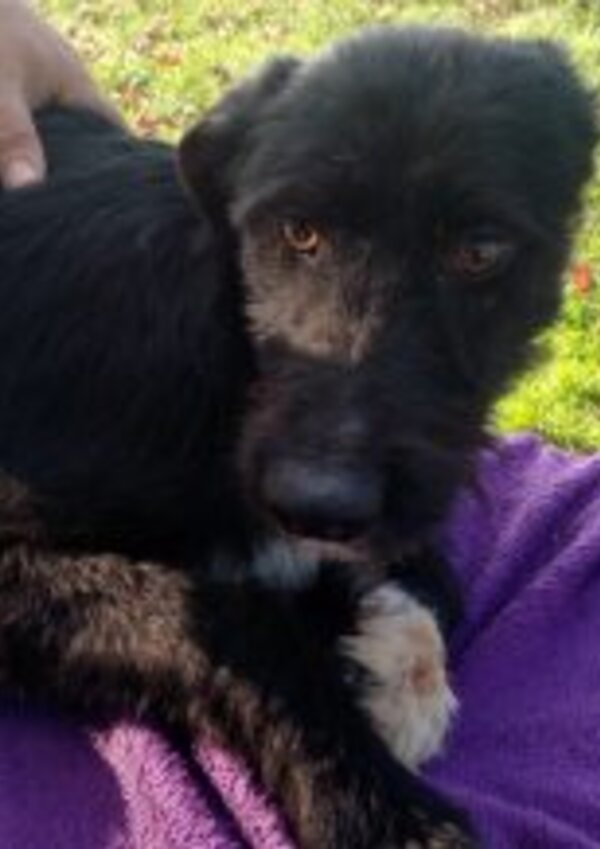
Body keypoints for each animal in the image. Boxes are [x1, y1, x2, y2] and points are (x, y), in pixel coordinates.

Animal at [0, 25, 594, 849]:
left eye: (480, 250)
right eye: (298, 231)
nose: (319, 502)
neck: (226, 355)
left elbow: (438, 580)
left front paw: (386, 652)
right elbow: (217, 616)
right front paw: (377, 805)